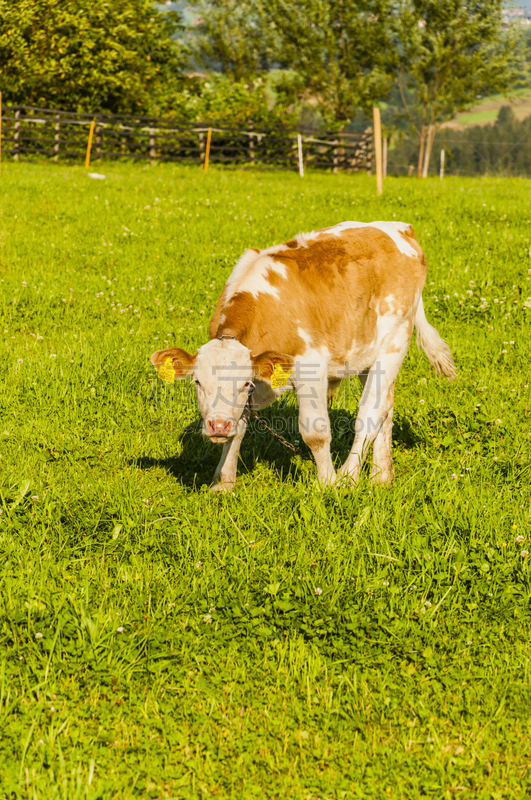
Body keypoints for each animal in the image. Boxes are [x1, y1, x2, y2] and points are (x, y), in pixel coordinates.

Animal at [152, 222, 456, 490]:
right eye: (197, 382)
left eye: (244, 383)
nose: (217, 426)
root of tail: (401, 228)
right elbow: (238, 429)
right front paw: (223, 483)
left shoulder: (310, 368)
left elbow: (315, 432)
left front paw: (327, 483)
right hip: (367, 354)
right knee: (386, 408)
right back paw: (381, 478)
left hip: (395, 340)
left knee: (370, 412)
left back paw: (348, 477)